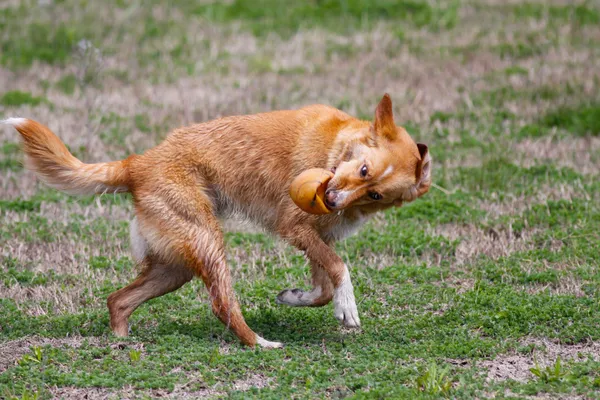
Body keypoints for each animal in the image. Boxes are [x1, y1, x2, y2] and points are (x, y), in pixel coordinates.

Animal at [1, 94, 432, 346]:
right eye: (363, 170)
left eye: (375, 193)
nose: (329, 199)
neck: (336, 147)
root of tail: (136, 163)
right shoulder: (294, 227)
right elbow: (339, 268)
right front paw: (347, 307)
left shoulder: (318, 237)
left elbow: (323, 284)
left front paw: (296, 297)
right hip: (208, 244)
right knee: (223, 306)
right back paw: (260, 343)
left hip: (174, 266)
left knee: (118, 300)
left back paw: (122, 344)